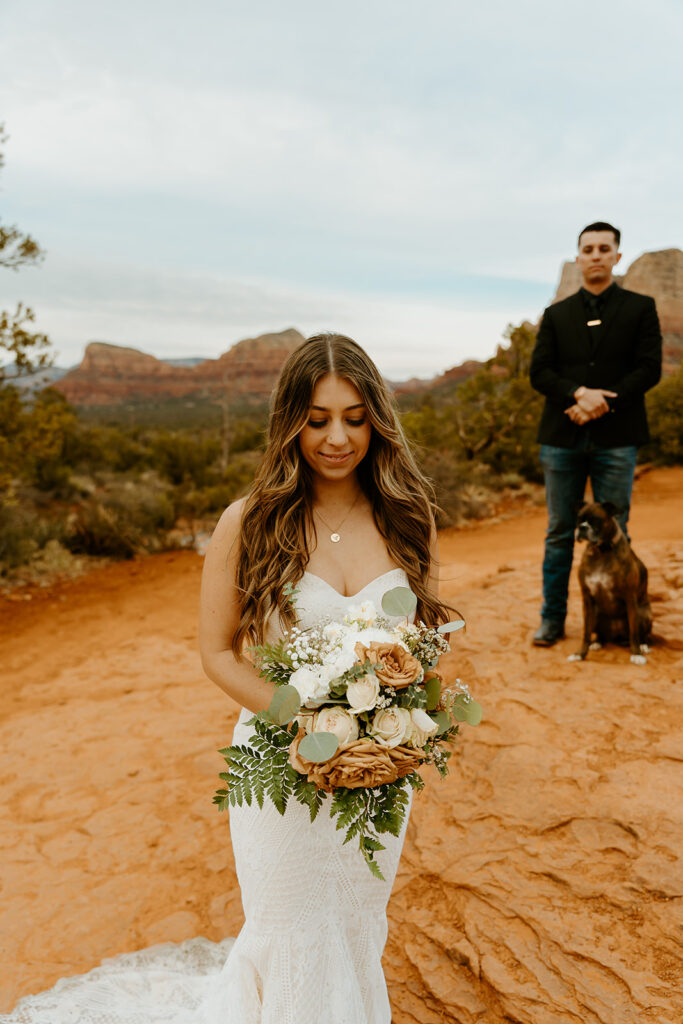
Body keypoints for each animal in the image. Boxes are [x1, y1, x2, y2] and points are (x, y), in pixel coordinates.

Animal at [569, 501, 655, 663]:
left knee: (641, 635)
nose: (582, 527)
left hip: (643, 614)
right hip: (595, 613)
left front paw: (636, 654)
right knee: (599, 634)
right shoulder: (587, 599)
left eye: (596, 520)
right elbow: (585, 633)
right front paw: (580, 654)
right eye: (578, 519)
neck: (601, 551)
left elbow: (634, 632)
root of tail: (616, 635)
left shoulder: (630, 598)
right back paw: (598, 642)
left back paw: (643, 646)